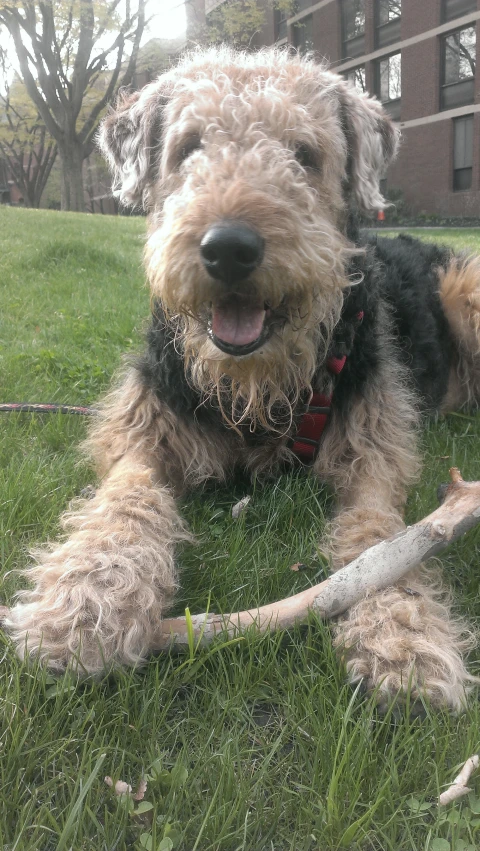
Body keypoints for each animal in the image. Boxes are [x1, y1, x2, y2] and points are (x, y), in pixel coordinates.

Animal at [5, 46, 478, 712]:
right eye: (188, 148)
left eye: (304, 154)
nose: (228, 248)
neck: (255, 390)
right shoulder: (141, 435)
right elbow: (126, 503)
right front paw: (82, 607)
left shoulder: (376, 455)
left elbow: (378, 538)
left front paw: (403, 638)